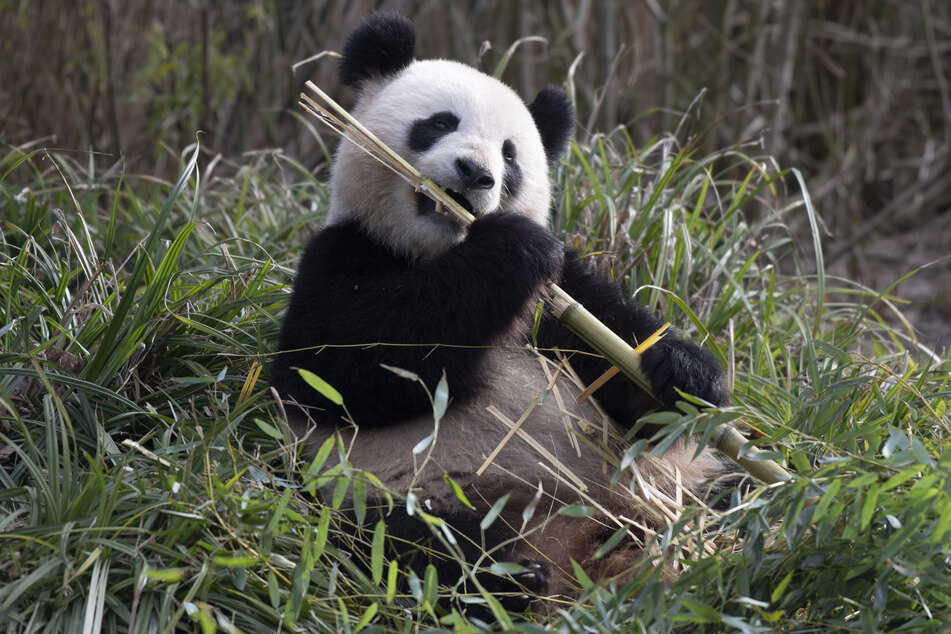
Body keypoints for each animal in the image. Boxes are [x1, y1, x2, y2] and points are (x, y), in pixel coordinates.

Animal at [272, 12, 732, 616]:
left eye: (510, 154)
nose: (475, 173)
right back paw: (506, 580)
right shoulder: (342, 256)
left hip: (670, 492)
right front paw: (511, 247)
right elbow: (344, 367)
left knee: (733, 497)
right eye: (440, 123)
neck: (438, 250)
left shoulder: (560, 299)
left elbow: (620, 370)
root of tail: (579, 556)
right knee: (403, 543)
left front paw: (684, 373)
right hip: (397, 489)